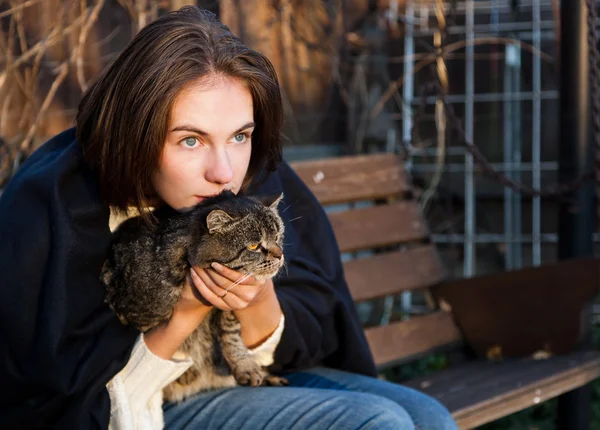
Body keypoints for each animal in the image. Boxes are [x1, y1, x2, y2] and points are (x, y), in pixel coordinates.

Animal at [102, 190, 288, 402]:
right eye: (254, 246)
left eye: (277, 236)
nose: (280, 255)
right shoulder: (134, 312)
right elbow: (161, 336)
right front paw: (186, 371)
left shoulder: (229, 304)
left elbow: (231, 335)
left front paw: (245, 366)